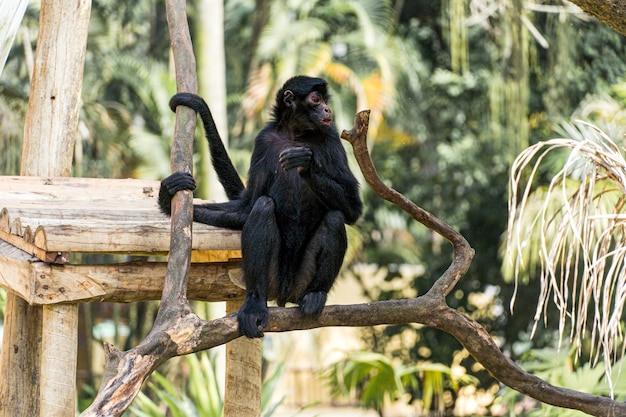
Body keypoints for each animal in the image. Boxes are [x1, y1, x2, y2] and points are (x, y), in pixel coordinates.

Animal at [158, 75, 360, 336]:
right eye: (316, 99)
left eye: (325, 101)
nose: (328, 109)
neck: (295, 135)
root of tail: (284, 292)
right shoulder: (263, 140)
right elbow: (248, 206)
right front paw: (166, 197)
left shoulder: (330, 136)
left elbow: (353, 209)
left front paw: (304, 162)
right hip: (270, 279)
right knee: (263, 205)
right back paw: (255, 304)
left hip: (301, 280)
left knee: (335, 216)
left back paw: (315, 294)